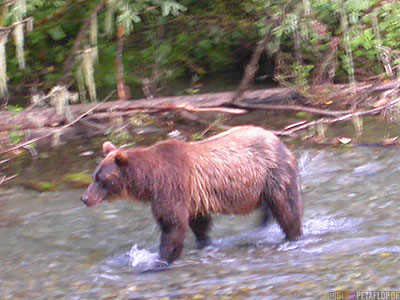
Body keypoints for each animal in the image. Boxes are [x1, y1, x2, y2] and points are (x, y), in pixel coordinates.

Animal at [81, 125, 302, 264]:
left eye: (101, 179)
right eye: (94, 176)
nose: (85, 198)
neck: (149, 180)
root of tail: (279, 140)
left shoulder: (171, 185)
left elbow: (172, 224)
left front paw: (159, 260)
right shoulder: (194, 198)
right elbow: (198, 223)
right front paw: (204, 243)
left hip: (274, 173)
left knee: (286, 208)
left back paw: (293, 236)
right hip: (260, 186)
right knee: (269, 207)